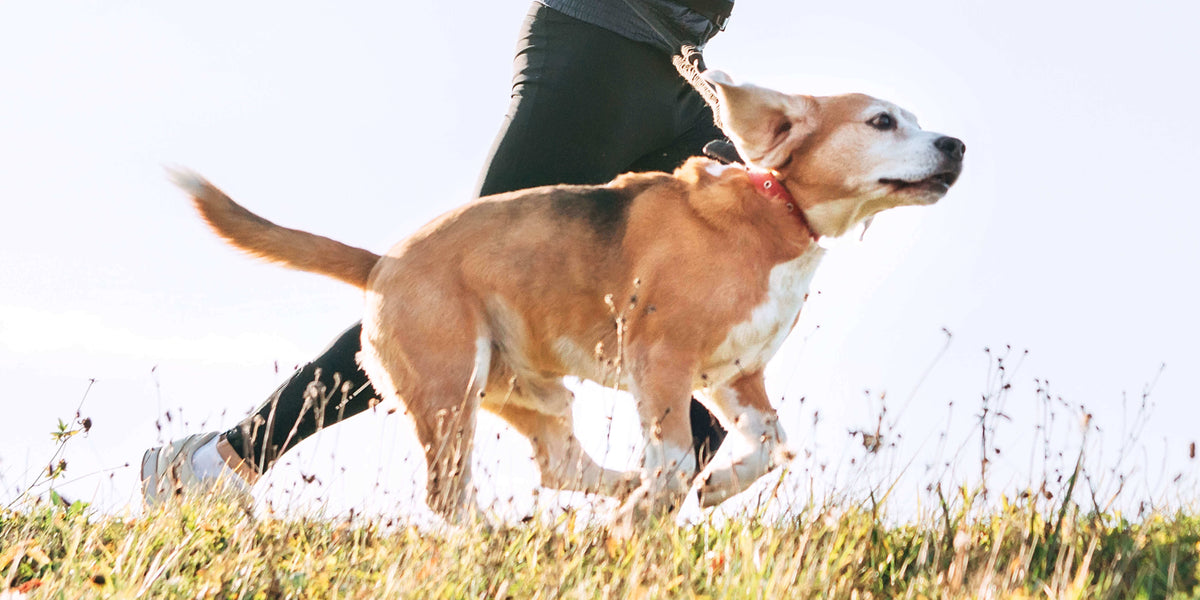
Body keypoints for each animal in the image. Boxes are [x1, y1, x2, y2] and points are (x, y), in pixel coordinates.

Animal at [171, 71, 964, 525]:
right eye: (882, 122)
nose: (955, 145)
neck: (775, 212)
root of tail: (383, 262)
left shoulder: (735, 375)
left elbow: (771, 445)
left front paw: (712, 488)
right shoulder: (662, 361)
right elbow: (676, 456)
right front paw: (660, 502)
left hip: (533, 392)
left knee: (560, 465)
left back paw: (616, 493)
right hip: (450, 387)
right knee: (448, 496)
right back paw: (496, 540)